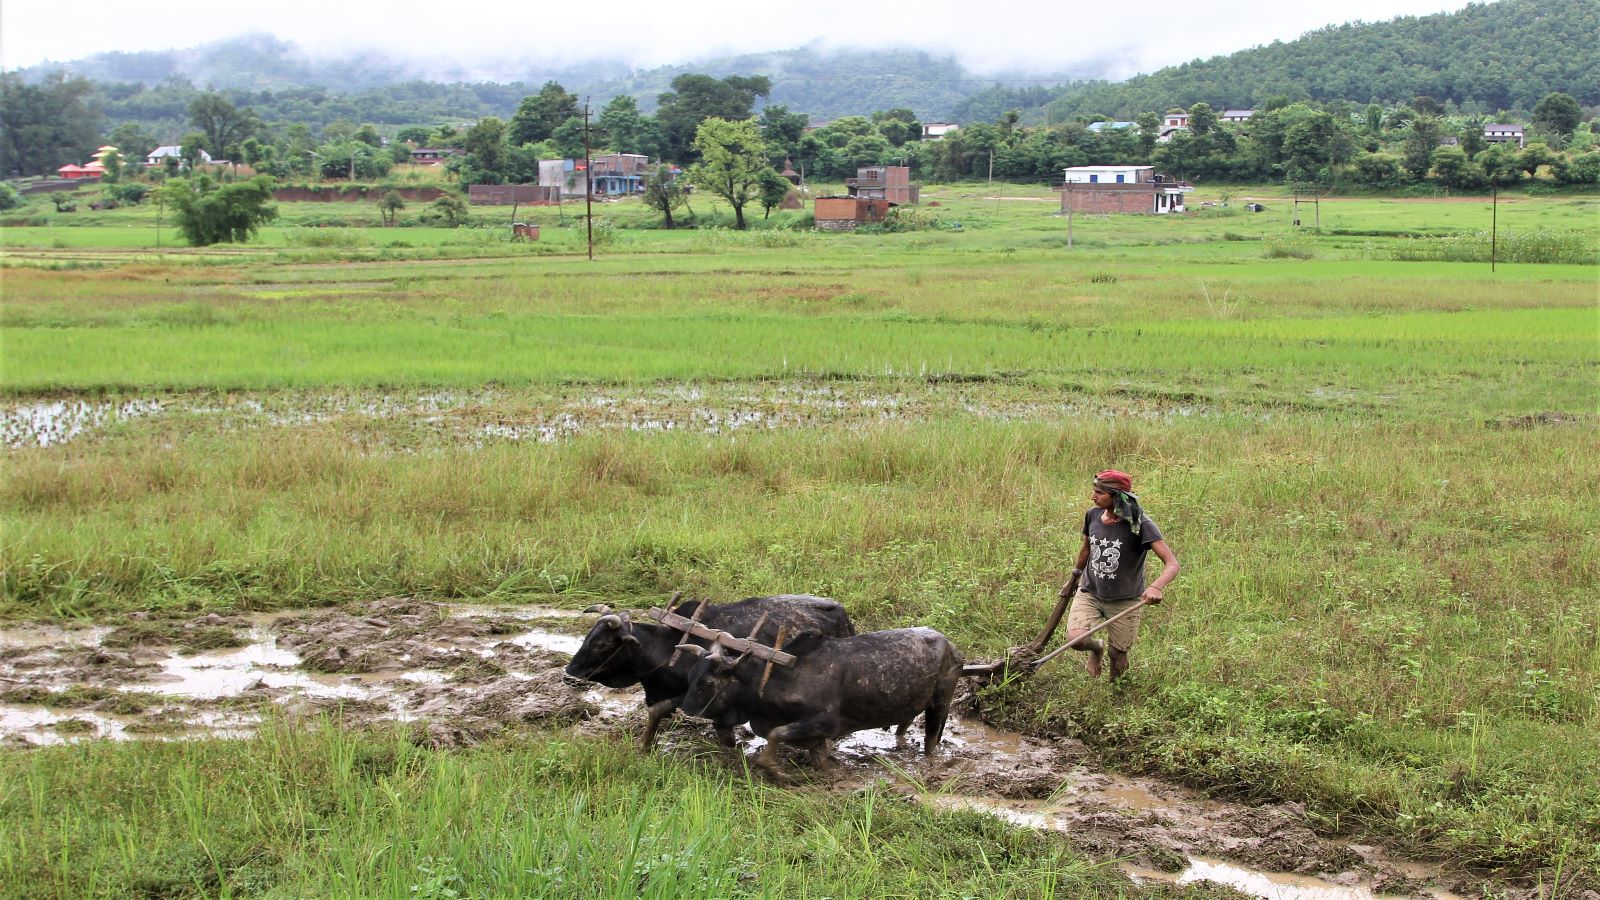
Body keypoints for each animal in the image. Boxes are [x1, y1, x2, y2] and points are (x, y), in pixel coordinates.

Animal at [569, 592, 857, 746]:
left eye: (600, 643)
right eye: (588, 636)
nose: (569, 674)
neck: (668, 644)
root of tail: (841, 610)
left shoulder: (690, 692)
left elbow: (659, 711)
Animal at [678, 624, 960, 778]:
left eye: (707, 683)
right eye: (690, 676)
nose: (686, 710)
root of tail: (951, 645)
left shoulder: (825, 723)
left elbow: (777, 734)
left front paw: (775, 769)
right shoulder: (815, 734)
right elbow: (818, 755)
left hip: (941, 702)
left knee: (931, 737)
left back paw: (931, 762)